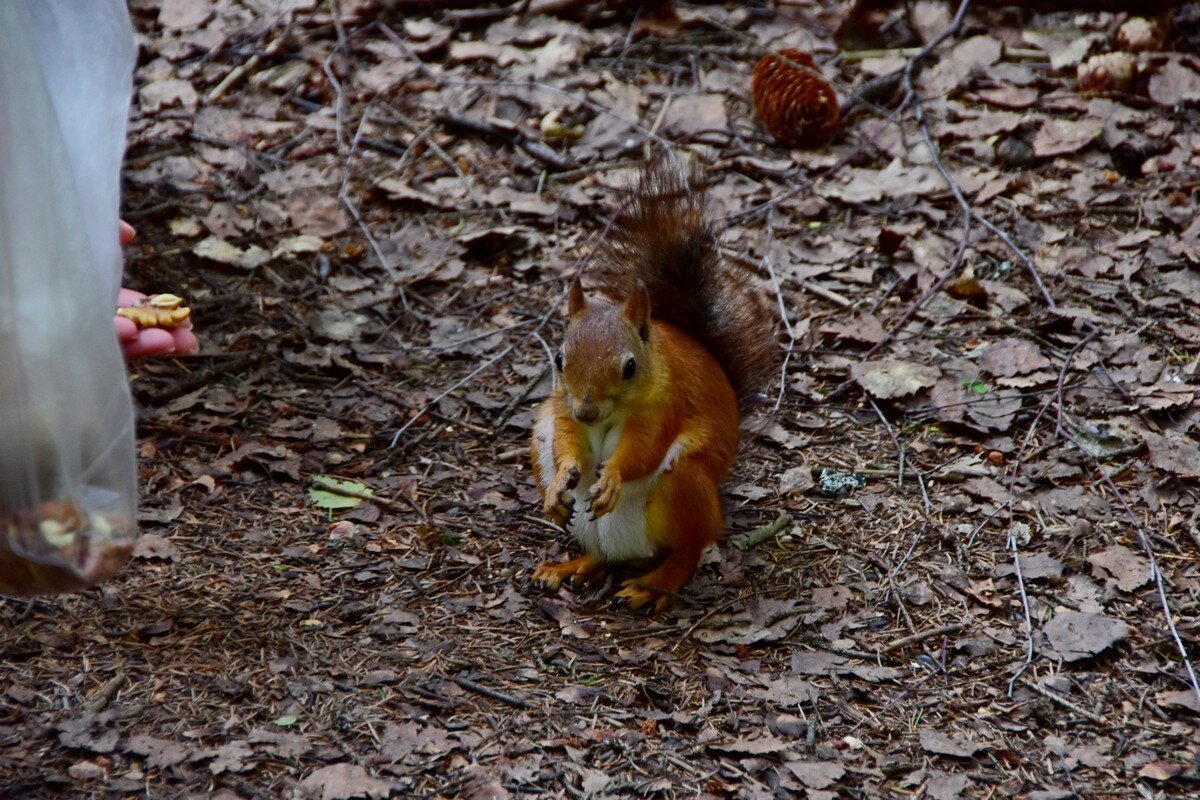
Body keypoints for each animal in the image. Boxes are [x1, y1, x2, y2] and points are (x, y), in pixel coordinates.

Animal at [530, 158, 772, 614]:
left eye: (629, 367)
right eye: (559, 360)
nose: (587, 410)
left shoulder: (666, 405)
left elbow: (644, 450)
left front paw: (613, 476)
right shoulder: (562, 408)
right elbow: (569, 442)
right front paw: (560, 483)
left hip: (685, 485)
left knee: (688, 551)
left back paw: (653, 584)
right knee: (602, 554)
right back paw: (571, 566)